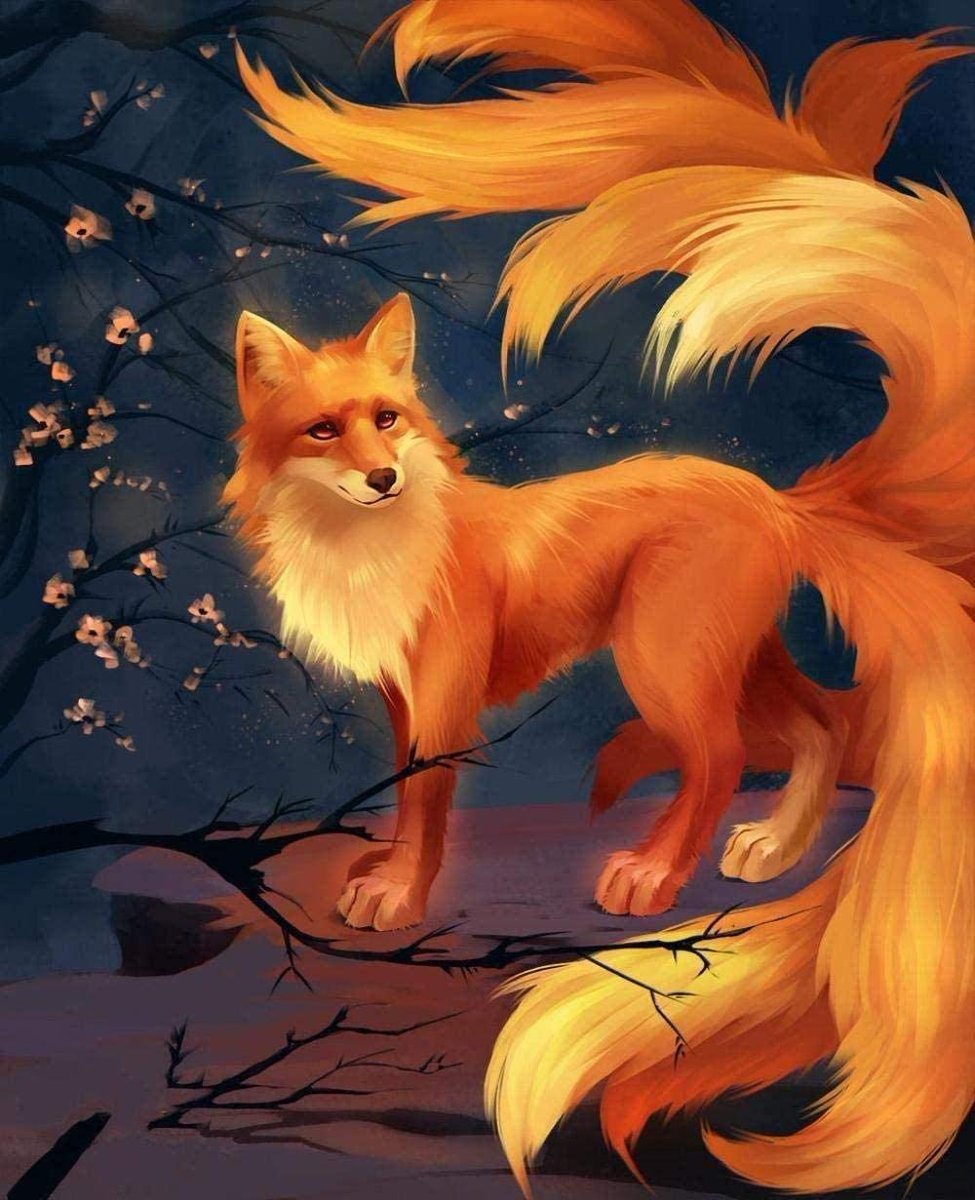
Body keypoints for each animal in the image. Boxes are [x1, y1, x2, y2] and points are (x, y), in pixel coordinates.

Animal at [230, 1, 975, 1196]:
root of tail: (768, 491)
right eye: (321, 431)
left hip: (660, 662)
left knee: (718, 758)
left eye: (388, 419)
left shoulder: (444, 688)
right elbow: (402, 791)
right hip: (728, 655)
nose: (383, 478)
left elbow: (429, 806)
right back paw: (772, 849)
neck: (364, 550)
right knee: (815, 726)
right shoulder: (401, 693)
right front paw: (383, 872)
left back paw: (658, 875)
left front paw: (402, 897)